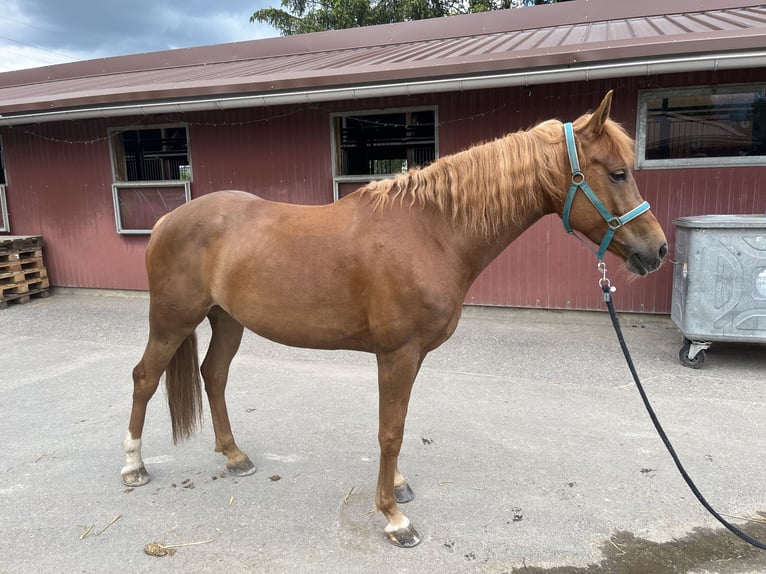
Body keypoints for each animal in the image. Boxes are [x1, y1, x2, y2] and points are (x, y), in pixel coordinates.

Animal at [120, 93, 664, 548]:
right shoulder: (397, 353)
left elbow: (397, 423)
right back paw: (133, 466)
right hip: (171, 320)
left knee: (213, 376)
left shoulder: (413, 354)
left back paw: (235, 456)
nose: (656, 251)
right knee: (145, 378)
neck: (431, 230)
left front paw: (398, 487)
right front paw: (393, 517)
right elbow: (390, 430)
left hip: (227, 320)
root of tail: (167, 221)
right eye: (618, 172)